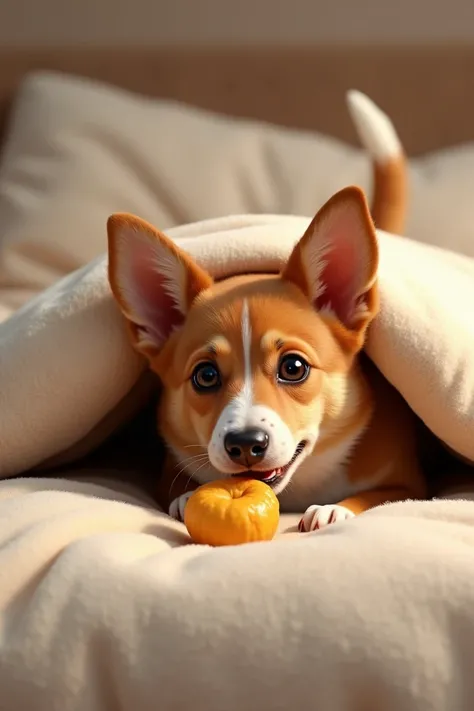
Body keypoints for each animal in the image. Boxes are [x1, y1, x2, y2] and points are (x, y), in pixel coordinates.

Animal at [107, 92, 426, 532]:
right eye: (205, 376)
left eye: (294, 367)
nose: (245, 444)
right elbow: (177, 485)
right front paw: (186, 496)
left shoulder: (408, 484)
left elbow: (379, 495)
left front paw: (335, 509)